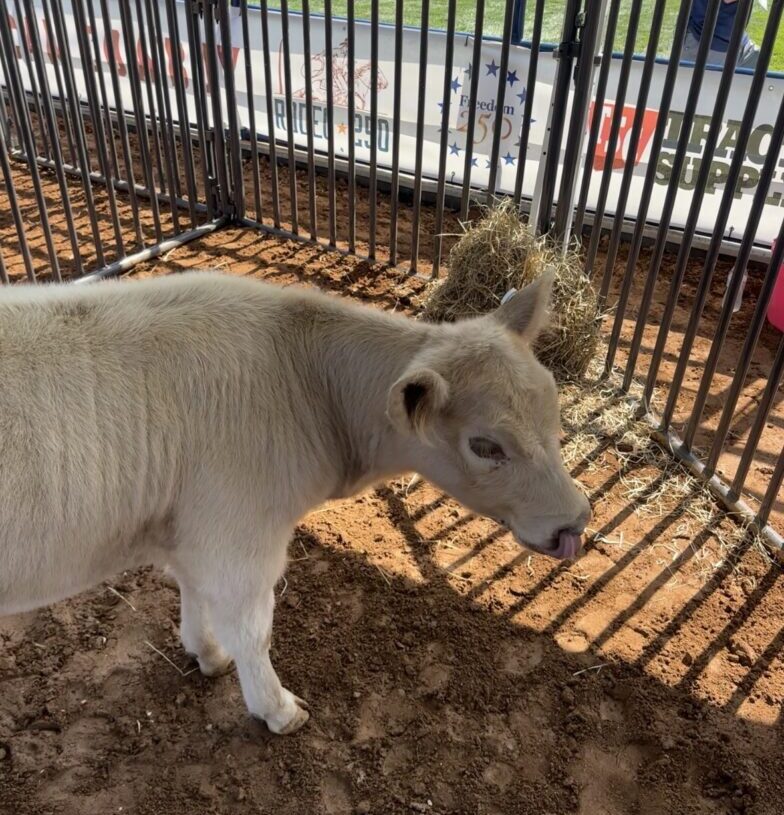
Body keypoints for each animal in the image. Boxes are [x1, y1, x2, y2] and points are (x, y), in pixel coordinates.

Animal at [0, 270, 590, 735]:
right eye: (485, 446)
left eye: (555, 410)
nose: (575, 521)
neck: (303, 382)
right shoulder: (238, 534)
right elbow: (252, 632)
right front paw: (278, 710)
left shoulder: (190, 528)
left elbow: (194, 593)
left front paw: (206, 654)